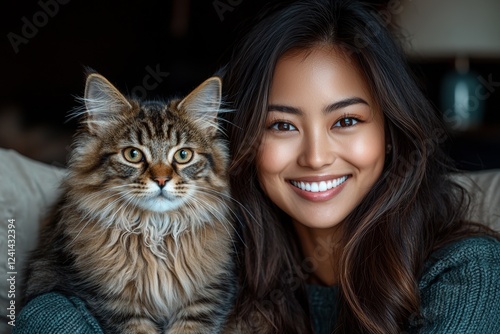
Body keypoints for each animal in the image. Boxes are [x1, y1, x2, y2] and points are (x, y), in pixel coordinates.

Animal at [21, 73, 236, 334]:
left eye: (183, 155)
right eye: (133, 155)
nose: (161, 180)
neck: (156, 232)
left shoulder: (206, 297)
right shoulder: (116, 303)